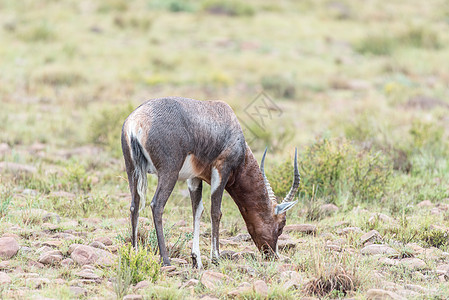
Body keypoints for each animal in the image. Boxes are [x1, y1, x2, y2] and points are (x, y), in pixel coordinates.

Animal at [121, 97, 300, 268]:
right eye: (282, 224)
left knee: (134, 206)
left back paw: (134, 254)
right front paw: (216, 258)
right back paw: (166, 260)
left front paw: (196, 260)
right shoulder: (221, 172)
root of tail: (136, 121)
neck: (228, 120)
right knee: (157, 205)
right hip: (169, 173)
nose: (272, 255)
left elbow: (197, 210)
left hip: (132, 170)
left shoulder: (194, 178)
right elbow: (216, 212)